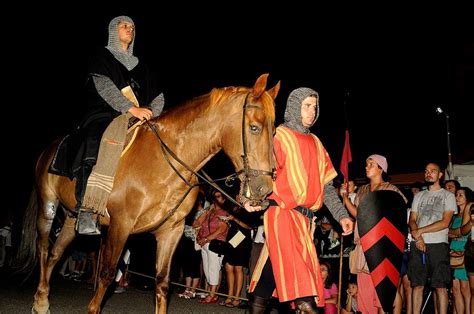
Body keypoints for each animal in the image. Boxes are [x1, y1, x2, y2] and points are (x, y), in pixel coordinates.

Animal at [16, 74, 280, 314]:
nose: (264, 189)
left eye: (274, 132)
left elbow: (162, 282)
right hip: (48, 206)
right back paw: (40, 302)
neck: (163, 163)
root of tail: (50, 148)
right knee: (43, 249)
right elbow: (106, 274)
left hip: (73, 218)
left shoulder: (171, 231)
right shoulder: (120, 225)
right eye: (254, 127)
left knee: (55, 254)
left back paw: (42, 301)